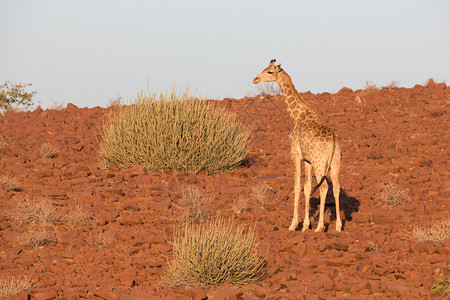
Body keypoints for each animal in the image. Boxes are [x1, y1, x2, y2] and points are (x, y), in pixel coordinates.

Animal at [251, 59, 342, 232]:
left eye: (270, 72)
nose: (255, 80)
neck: (297, 116)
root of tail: (333, 140)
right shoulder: (307, 160)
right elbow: (306, 187)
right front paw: (305, 225)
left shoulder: (295, 155)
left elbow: (297, 186)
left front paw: (293, 225)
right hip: (335, 163)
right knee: (336, 187)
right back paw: (339, 227)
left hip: (320, 163)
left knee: (324, 187)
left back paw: (320, 227)